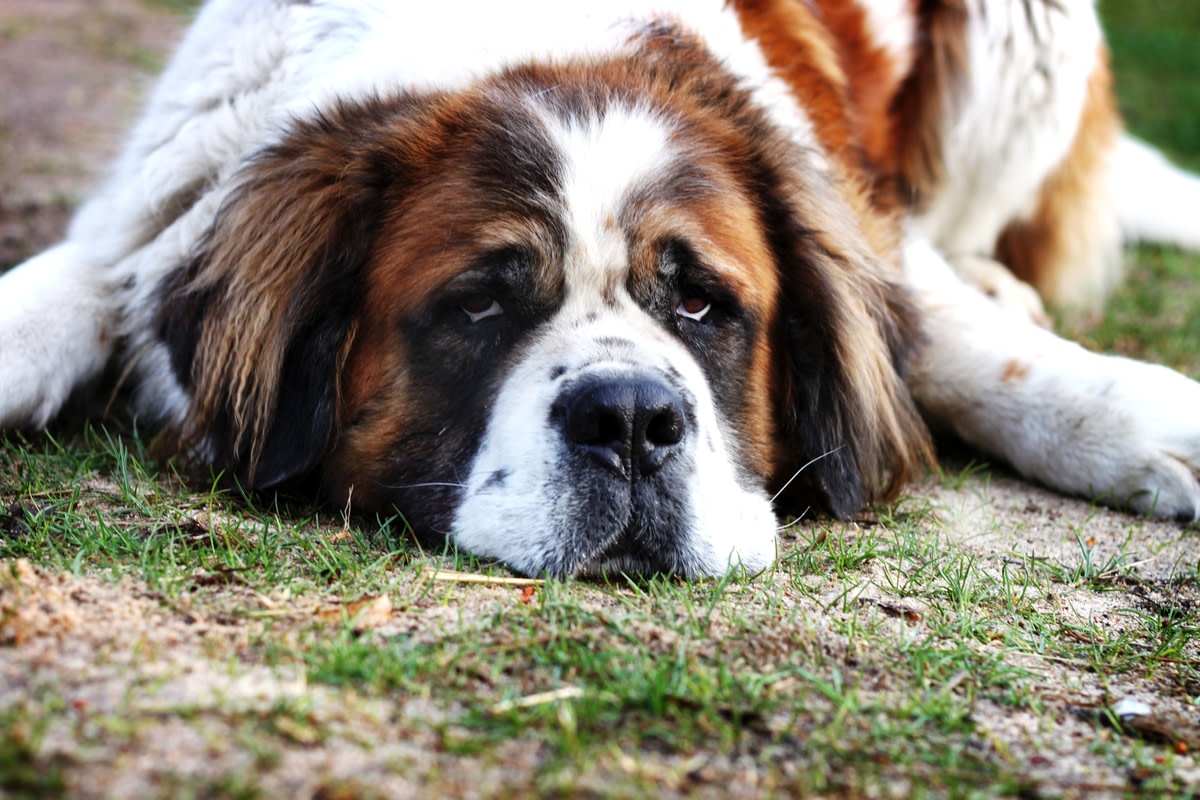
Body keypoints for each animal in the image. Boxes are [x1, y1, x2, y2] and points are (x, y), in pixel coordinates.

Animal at [2, 0, 1200, 575]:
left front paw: (1146, 415)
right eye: (480, 304)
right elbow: (66, 290)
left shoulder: (864, 217)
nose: (629, 419)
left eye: (704, 302)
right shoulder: (161, 196)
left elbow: (965, 343)